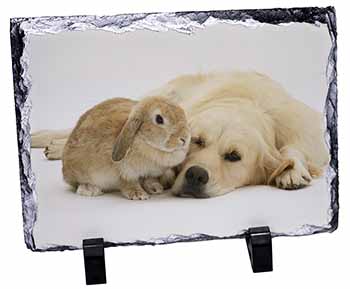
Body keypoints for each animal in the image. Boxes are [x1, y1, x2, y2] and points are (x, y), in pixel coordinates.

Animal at [61, 95, 190, 199]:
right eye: (159, 119)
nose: (184, 138)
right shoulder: (125, 172)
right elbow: (128, 182)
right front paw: (138, 195)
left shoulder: (150, 173)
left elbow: (149, 179)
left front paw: (155, 188)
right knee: (76, 184)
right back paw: (90, 189)